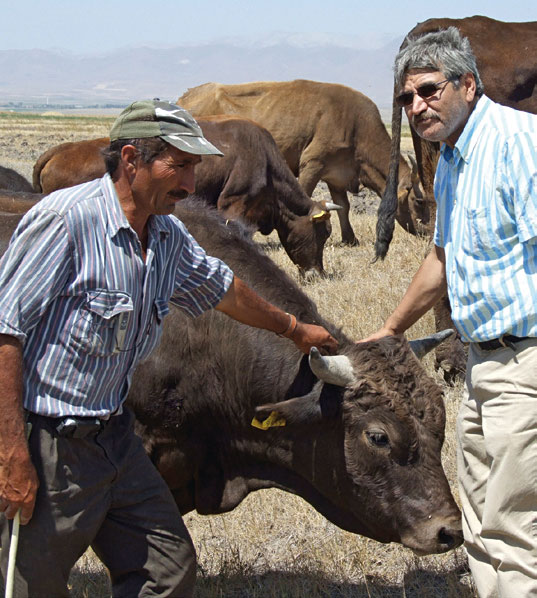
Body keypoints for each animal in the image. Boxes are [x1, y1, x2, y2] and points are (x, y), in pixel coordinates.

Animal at [179, 79, 428, 246]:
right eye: (419, 200)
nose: (426, 230)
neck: (357, 126)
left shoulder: (337, 174)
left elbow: (344, 206)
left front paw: (350, 239)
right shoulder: (312, 164)